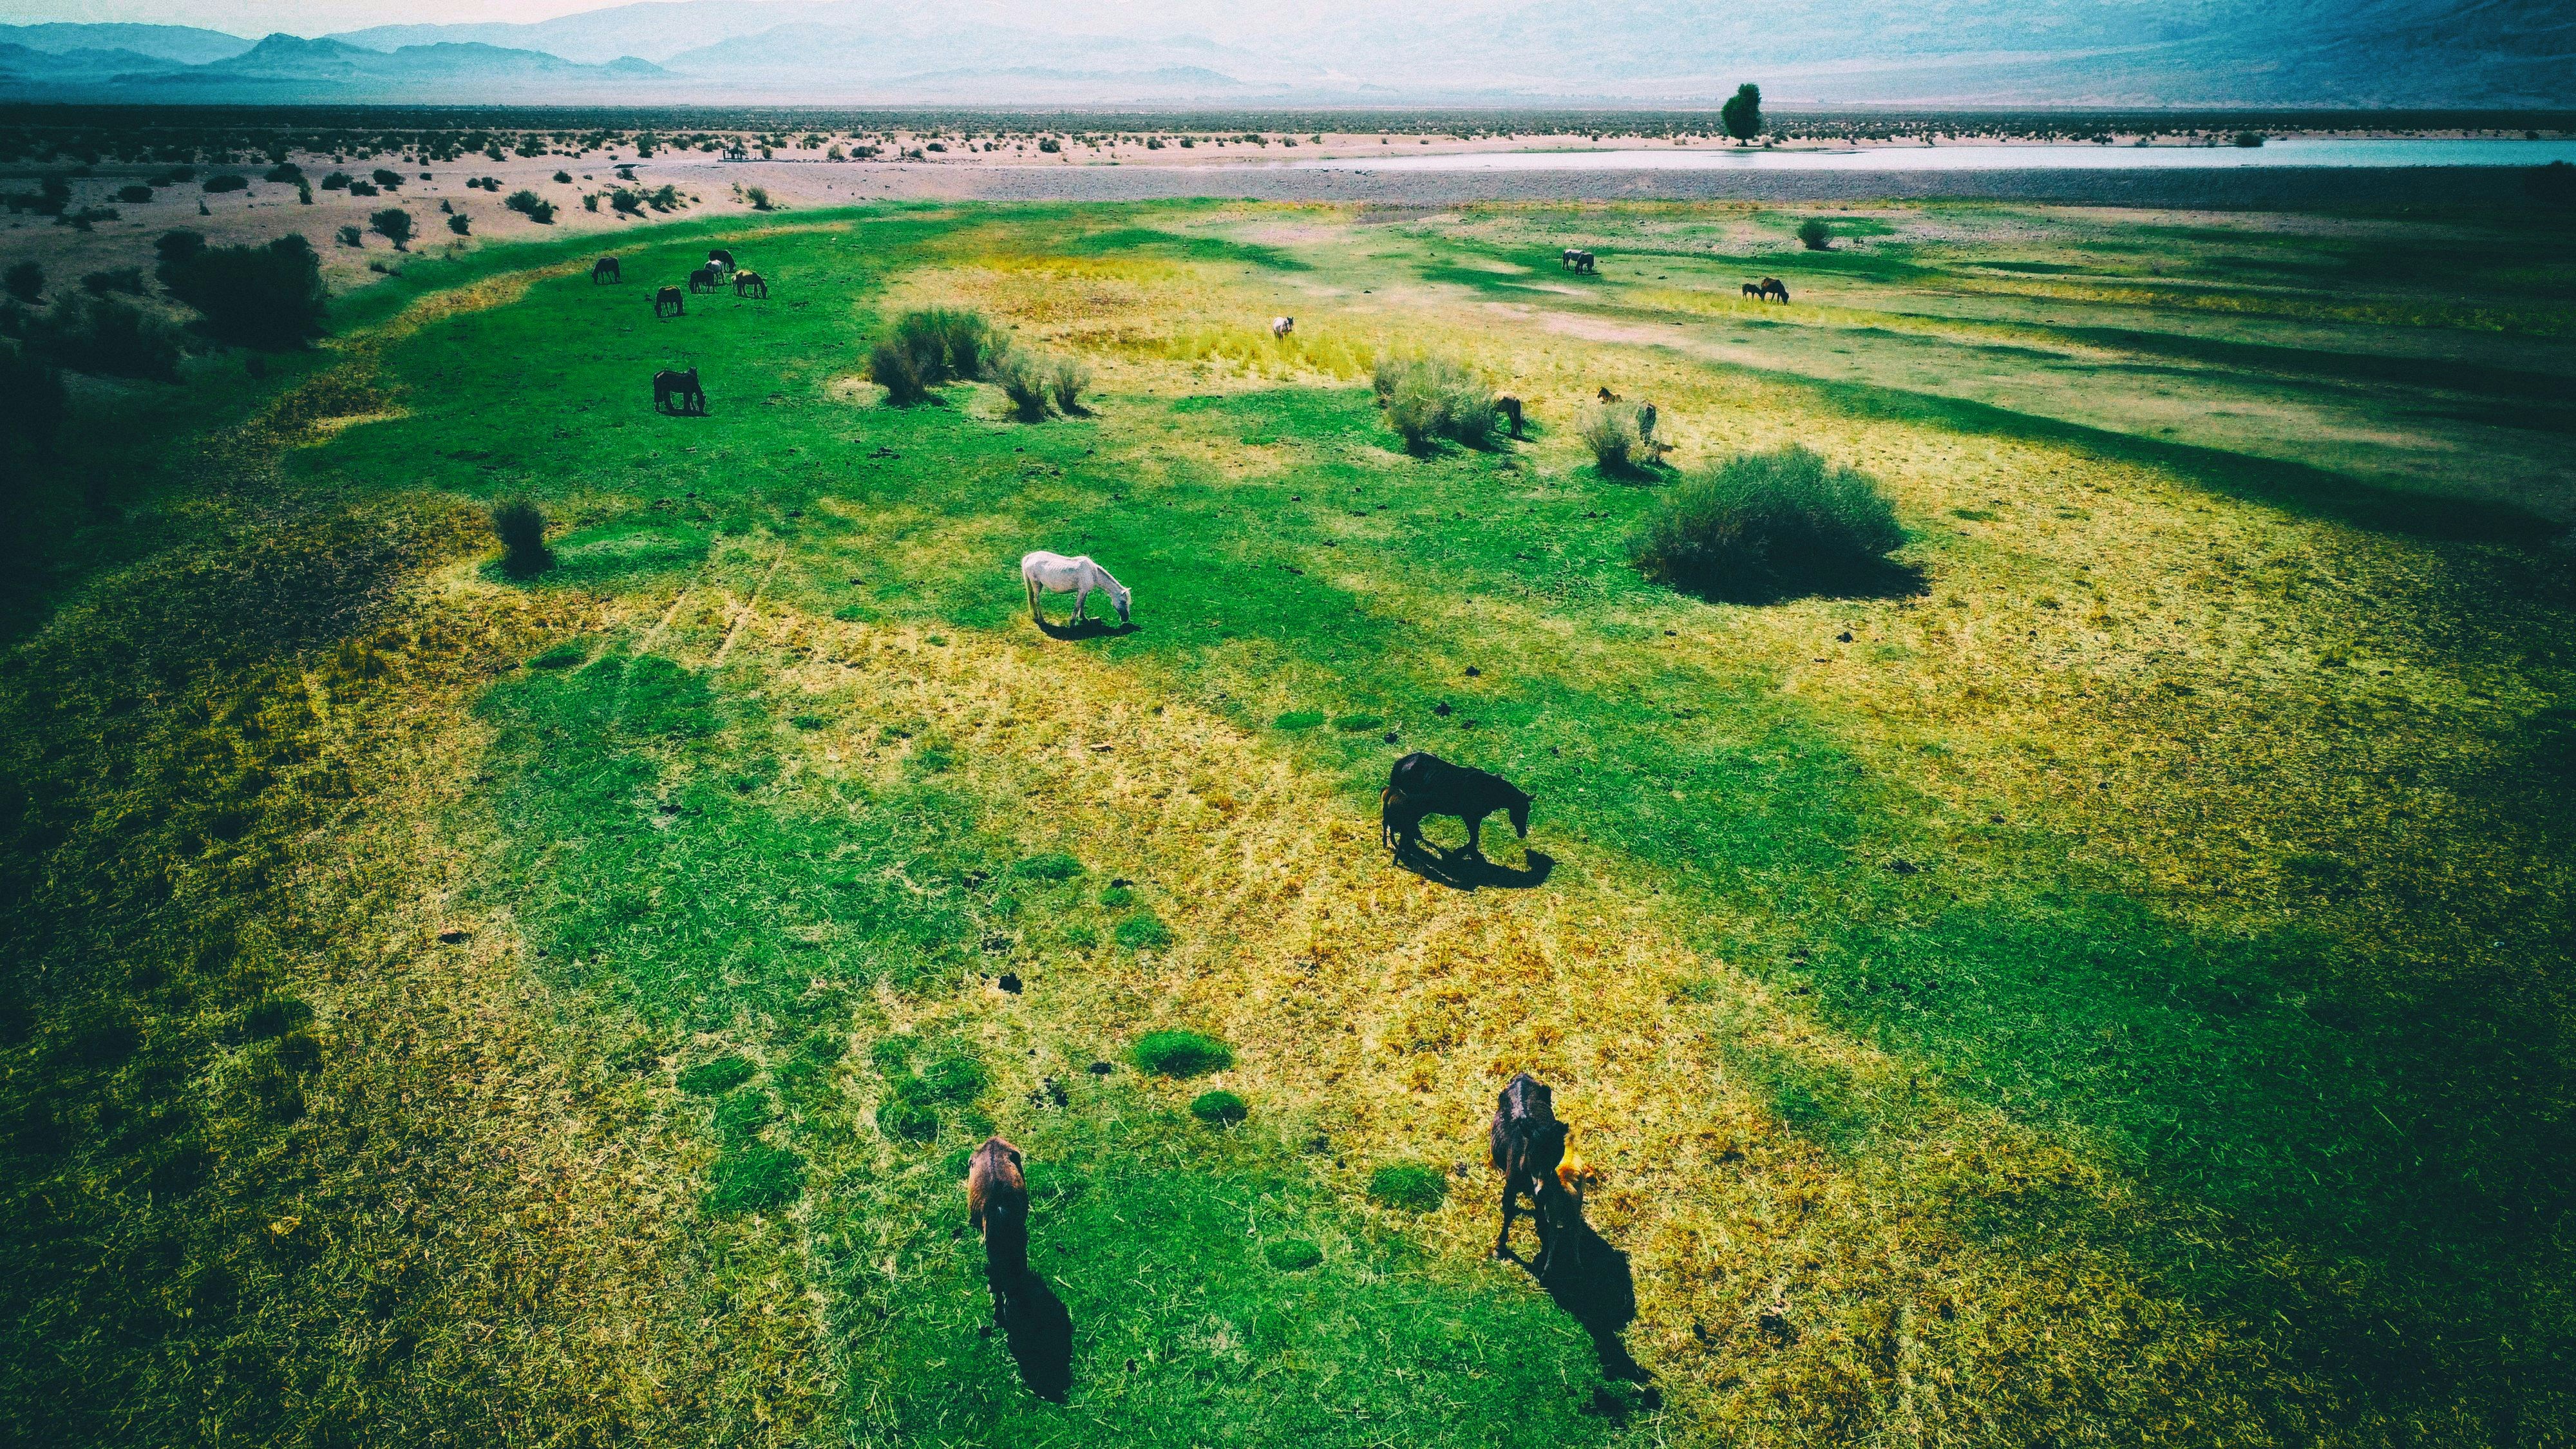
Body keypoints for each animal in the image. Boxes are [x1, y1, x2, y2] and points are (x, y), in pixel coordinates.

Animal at [1020, 551, 1131, 628]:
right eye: (1124, 601)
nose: (1126, 619)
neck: (1092, 572)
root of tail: (1028, 558)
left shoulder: (1085, 591)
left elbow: (1082, 604)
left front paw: (1083, 618)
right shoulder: (1081, 591)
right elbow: (1077, 606)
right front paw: (1072, 623)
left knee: (1032, 599)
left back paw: (1035, 616)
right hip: (1036, 584)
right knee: (1036, 600)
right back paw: (1042, 620)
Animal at [1380, 751, 1531, 859]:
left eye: (1528, 810)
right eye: (1522, 810)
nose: (1523, 833)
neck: (1486, 787)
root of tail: (1401, 763)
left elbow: (1474, 837)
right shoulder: (1471, 817)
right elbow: (1474, 837)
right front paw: (1463, 852)